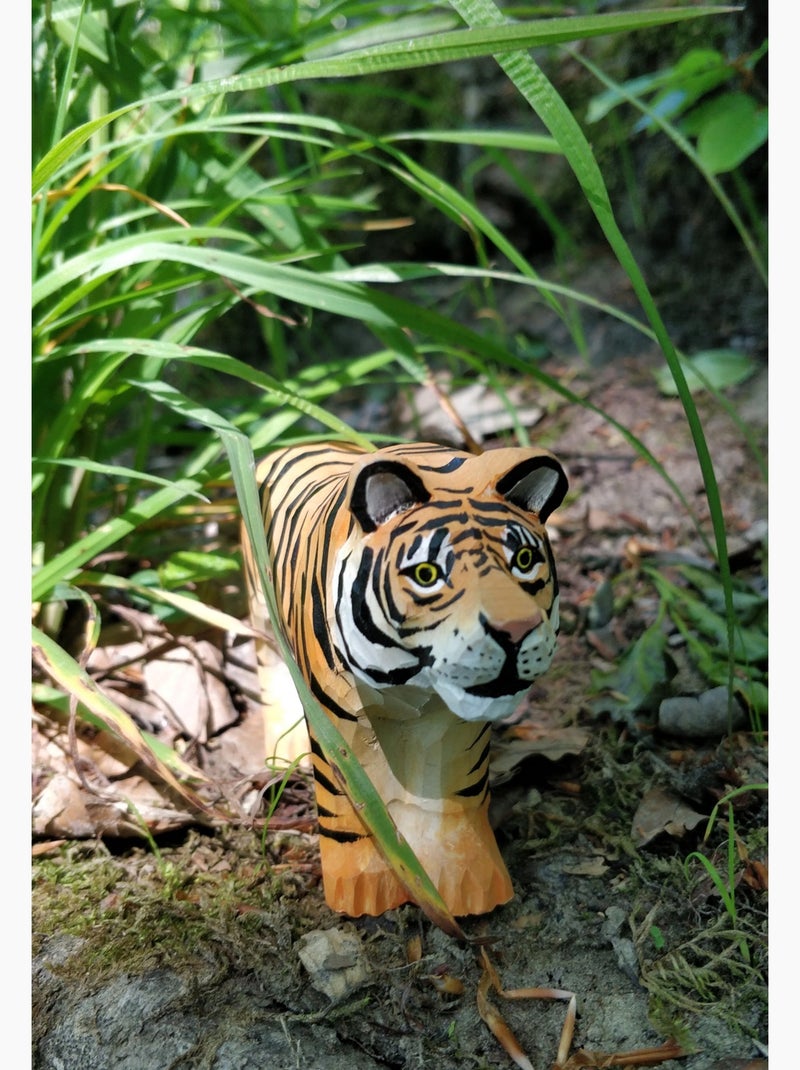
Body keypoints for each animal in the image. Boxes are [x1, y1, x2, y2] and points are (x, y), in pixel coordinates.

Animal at [242, 440, 568, 918]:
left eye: (524, 562)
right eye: (428, 574)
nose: (514, 632)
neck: (412, 680)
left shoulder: (455, 726)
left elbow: (453, 801)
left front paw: (466, 884)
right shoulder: (341, 719)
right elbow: (350, 807)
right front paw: (361, 889)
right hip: (261, 615)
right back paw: (284, 759)